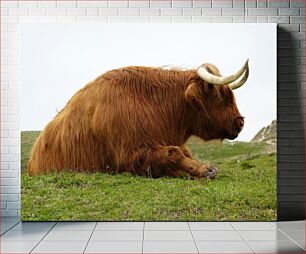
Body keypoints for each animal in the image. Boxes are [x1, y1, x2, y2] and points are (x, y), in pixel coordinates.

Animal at [27, 60, 250, 179]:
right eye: (223, 96)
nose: (240, 122)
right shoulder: (130, 156)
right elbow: (173, 154)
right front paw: (203, 170)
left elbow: (184, 153)